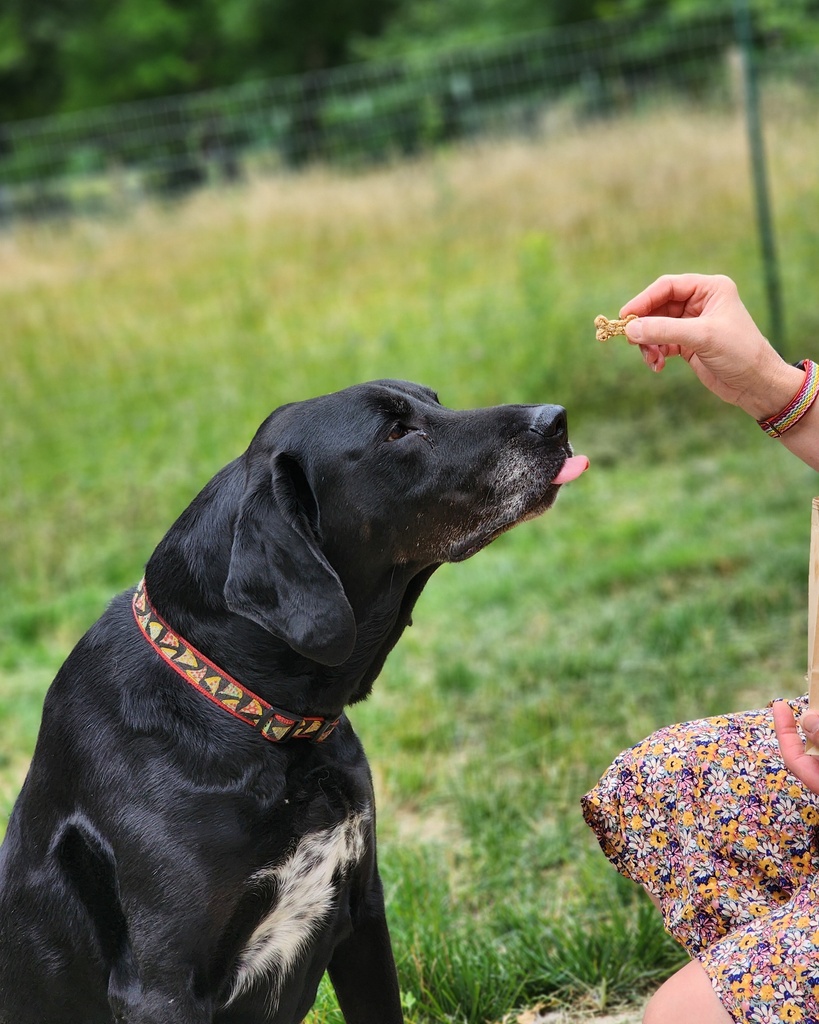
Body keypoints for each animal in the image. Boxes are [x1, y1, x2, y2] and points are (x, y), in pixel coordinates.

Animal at [0, 382, 589, 1024]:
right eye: (395, 432)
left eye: (433, 399)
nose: (555, 420)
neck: (255, 715)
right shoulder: (161, 986)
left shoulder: (363, 909)